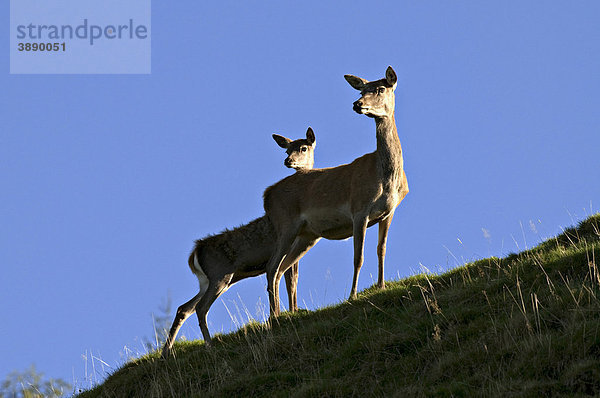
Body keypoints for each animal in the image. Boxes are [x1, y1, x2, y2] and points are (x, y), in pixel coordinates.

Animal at [162, 128, 316, 358]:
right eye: (288, 149)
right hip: (220, 275)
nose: (289, 161)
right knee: (200, 308)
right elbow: (290, 280)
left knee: (184, 308)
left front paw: (294, 311)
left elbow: (293, 280)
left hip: (207, 280)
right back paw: (209, 344)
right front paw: (291, 312)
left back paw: (166, 351)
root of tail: (194, 252)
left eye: (303, 147)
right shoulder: (291, 247)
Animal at [262, 66, 408, 318]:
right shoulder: (359, 209)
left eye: (380, 88)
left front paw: (381, 285)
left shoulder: (388, 212)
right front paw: (353, 295)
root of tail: (266, 196)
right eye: (362, 89)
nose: (357, 104)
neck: (386, 178)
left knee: (282, 269)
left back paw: (280, 312)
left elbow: (381, 249)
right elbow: (358, 257)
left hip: (306, 235)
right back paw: (275, 316)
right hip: (286, 224)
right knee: (272, 268)